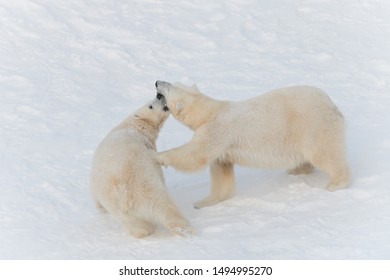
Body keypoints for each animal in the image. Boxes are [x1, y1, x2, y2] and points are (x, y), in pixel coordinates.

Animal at [88, 97, 192, 237]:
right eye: (150, 106)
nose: (159, 96)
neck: (134, 126)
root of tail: (126, 197)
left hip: (122, 212)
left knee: (136, 225)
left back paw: (143, 232)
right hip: (146, 183)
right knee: (164, 204)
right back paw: (183, 227)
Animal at [155, 80, 350, 209]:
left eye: (169, 87)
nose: (157, 82)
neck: (211, 111)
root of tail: (330, 103)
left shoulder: (218, 131)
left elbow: (196, 154)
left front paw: (160, 157)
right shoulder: (223, 147)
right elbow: (221, 173)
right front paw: (203, 202)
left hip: (313, 124)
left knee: (324, 153)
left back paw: (336, 183)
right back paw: (297, 169)